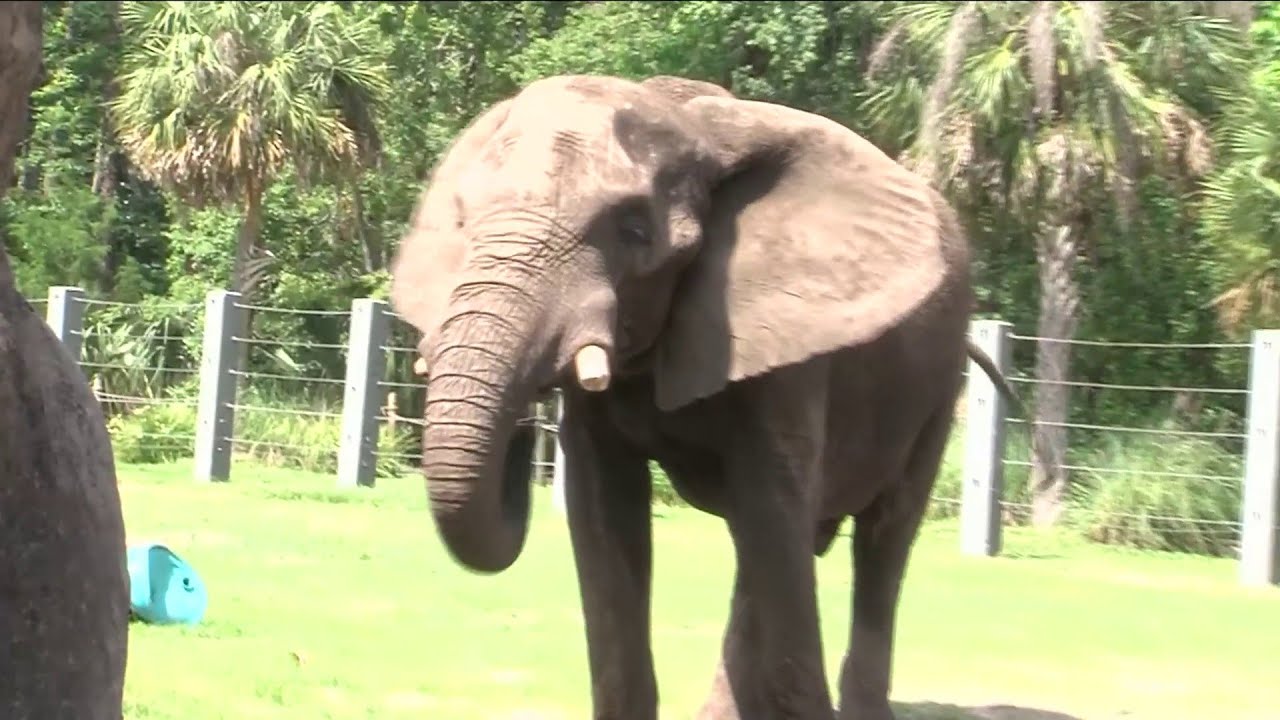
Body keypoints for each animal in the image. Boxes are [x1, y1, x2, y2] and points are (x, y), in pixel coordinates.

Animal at [389, 74, 1017, 720]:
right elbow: (603, 514)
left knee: (878, 540)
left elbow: (773, 511)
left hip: (937, 384)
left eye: (635, 231)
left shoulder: (786, 347)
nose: (520, 436)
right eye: (464, 222)